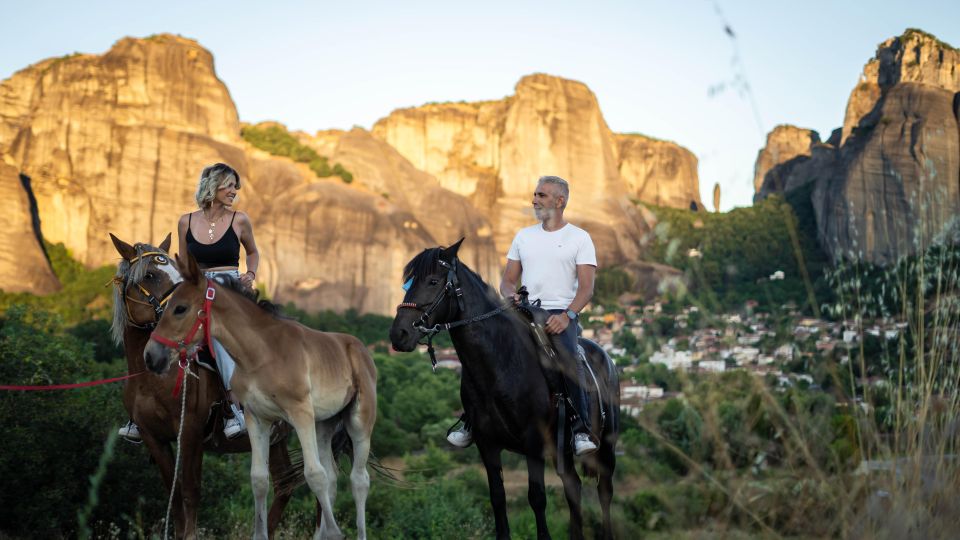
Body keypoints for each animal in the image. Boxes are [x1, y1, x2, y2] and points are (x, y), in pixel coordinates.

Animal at [109, 235, 304, 540]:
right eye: (149, 275)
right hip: (276, 437)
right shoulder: (154, 438)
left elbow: (190, 492)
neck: (156, 378)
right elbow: (175, 494)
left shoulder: (190, 432)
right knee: (285, 483)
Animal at [144, 252, 376, 540]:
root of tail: (361, 349)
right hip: (325, 424)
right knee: (333, 477)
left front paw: (334, 533)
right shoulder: (257, 419)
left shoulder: (300, 414)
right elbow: (259, 479)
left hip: (359, 422)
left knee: (359, 480)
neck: (262, 354)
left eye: (180, 308)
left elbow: (314, 475)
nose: (150, 356)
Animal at [386, 242, 620, 540]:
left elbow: (537, 498)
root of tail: (606, 357)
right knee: (573, 487)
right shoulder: (487, 444)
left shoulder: (534, 444)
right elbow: (497, 498)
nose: (399, 334)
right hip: (564, 451)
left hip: (606, 447)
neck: (501, 363)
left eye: (433, 281)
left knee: (604, 491)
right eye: (408, 283)